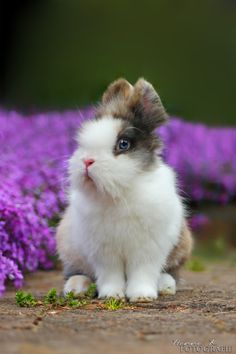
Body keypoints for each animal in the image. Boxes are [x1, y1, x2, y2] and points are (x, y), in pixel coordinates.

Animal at [56, 78, 193, 302]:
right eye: (83, 141)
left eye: (123, 144)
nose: (87, 161)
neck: (119, 194)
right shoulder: (104, 252)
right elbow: (110, 275)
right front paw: (111, 296)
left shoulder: (147, 249)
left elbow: (143, 272)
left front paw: (142, 296)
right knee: (77, 272)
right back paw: (76, 288)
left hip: (182, 246)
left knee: (172, 272)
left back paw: (165, 286)